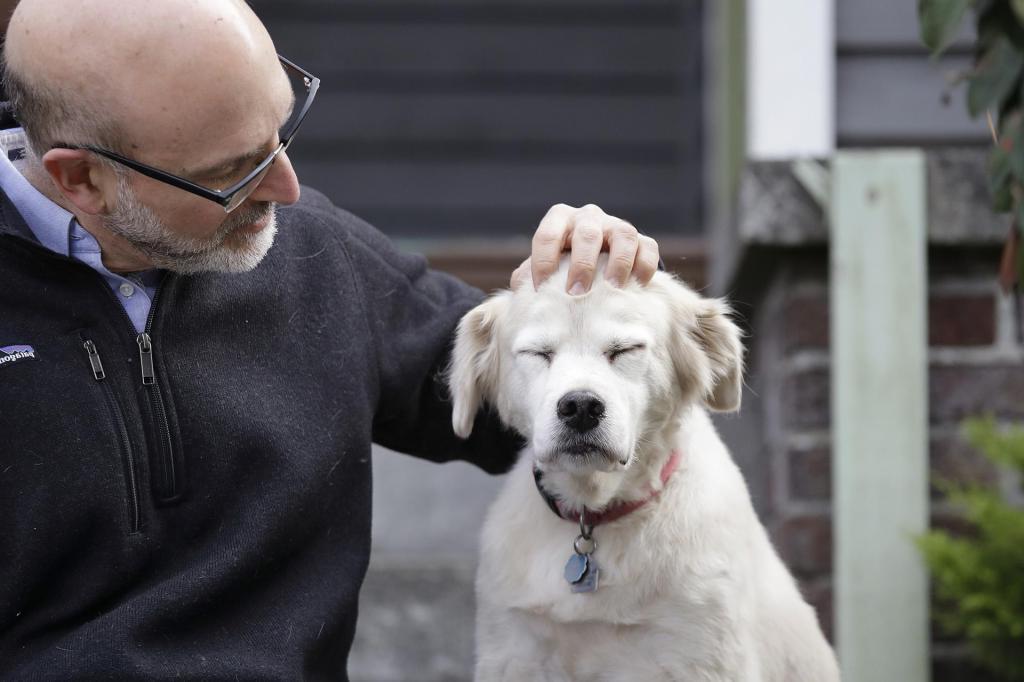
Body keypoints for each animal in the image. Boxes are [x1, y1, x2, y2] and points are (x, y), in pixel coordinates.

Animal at [448, 261, 839, 679]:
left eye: (625, 350)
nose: (580, 407)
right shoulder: (513, 650)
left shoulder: (701, 654)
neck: (596, 512)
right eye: (538, 353)